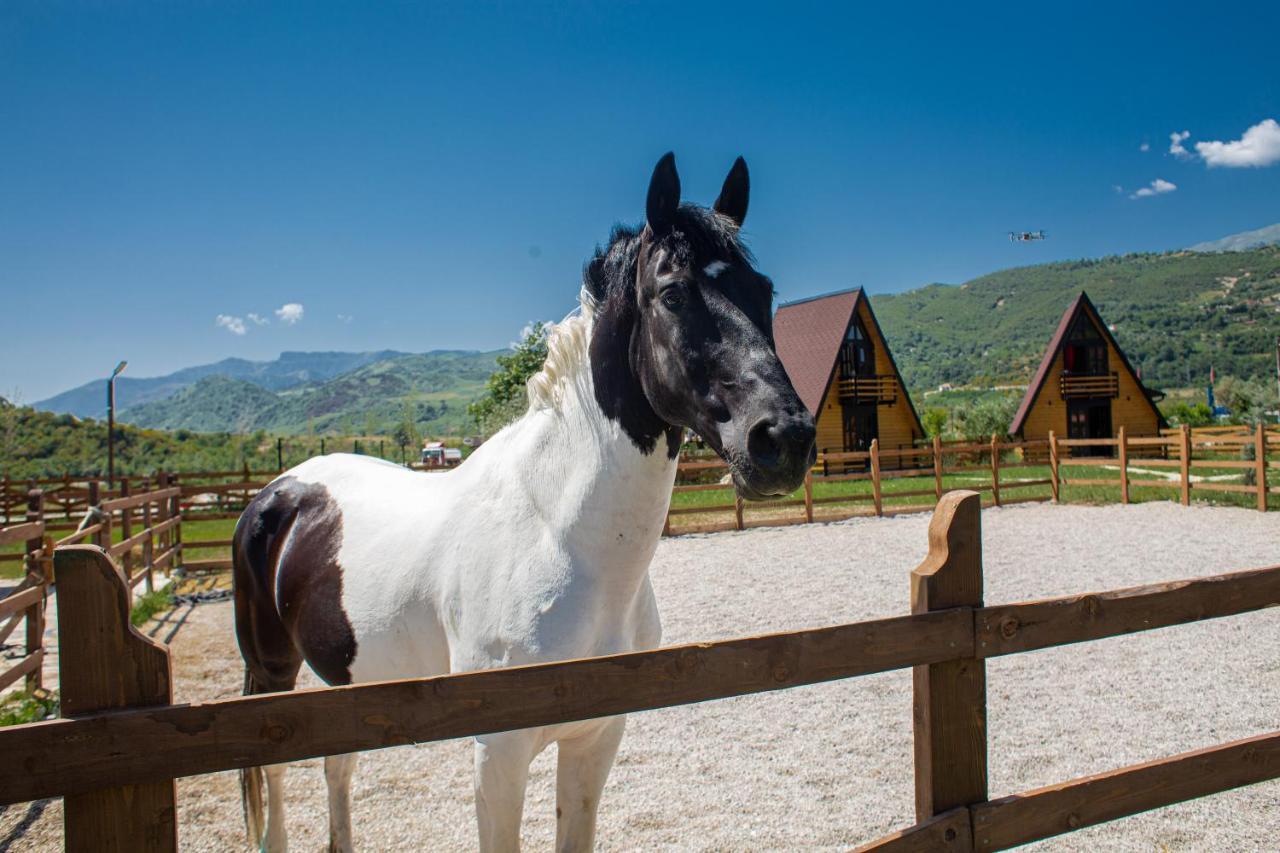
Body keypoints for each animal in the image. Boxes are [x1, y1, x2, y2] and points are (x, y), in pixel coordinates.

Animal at [234, 154, 814, 850]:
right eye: (674, 293)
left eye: (765, 291)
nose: (783, 438)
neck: (558, 538)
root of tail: (278, 494)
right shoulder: (498, 754)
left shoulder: (595, 739)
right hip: (273, 676)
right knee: (272, 773)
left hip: (343, 680)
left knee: (336, 766)